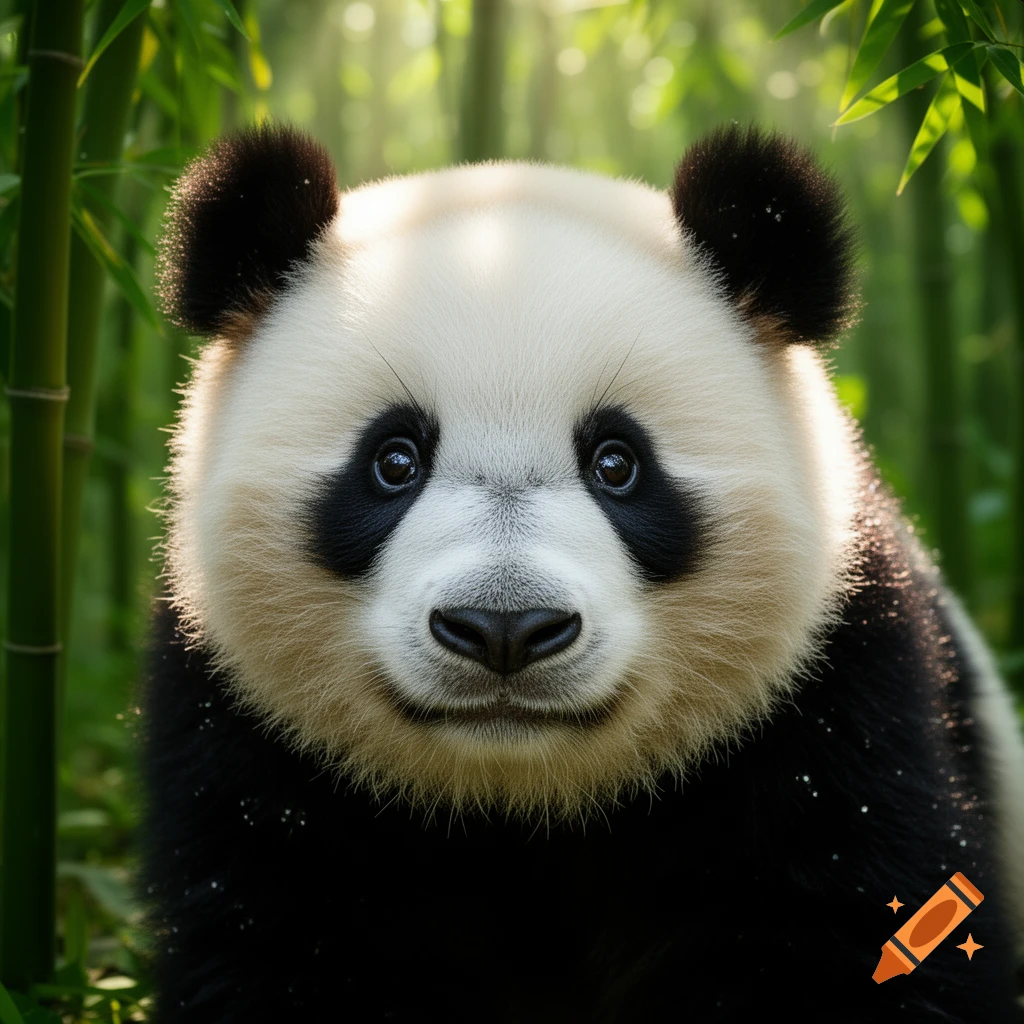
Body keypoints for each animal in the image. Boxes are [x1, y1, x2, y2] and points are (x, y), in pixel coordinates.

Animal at [141, 122, 1024, 1023]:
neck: (521, 803)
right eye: (393, 461)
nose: (503, 629)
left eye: (617, 463)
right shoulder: (246, 744)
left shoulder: (832, 711)